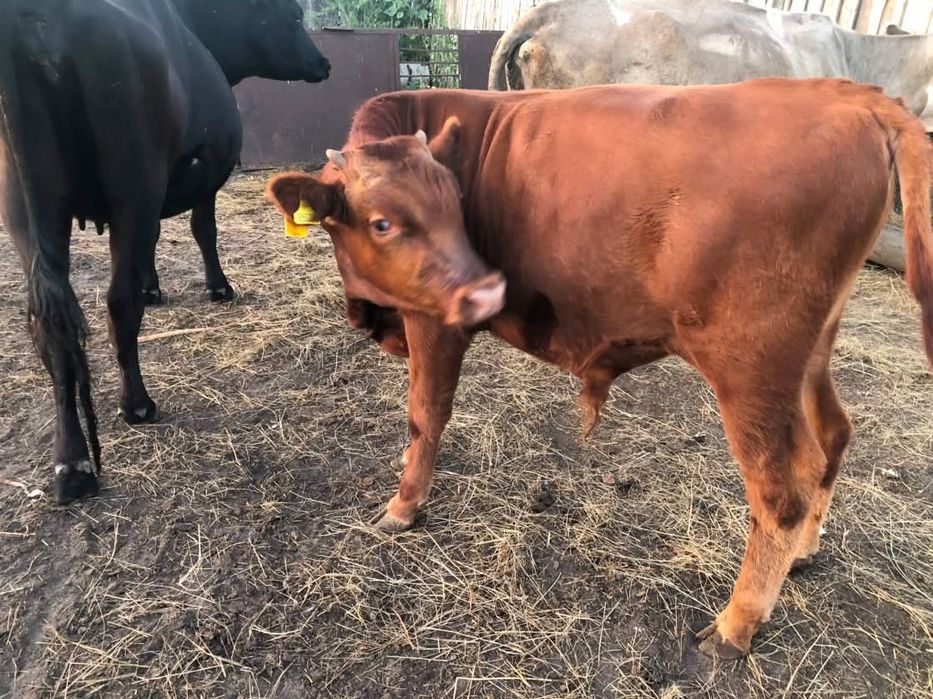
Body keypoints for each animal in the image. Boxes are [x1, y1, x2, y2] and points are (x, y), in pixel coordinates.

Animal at [0, 0, 329, 504]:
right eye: (293, 16)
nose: (324, 62)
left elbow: (154, 241)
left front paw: (154, 288)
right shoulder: (203, 172)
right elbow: (202, 228)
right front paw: (218, 287)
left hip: (25, 210)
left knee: (49, 326)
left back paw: (71, 465)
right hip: (132, 186)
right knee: (117, 303)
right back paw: (136, 404)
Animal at [266, 79, 933, 658]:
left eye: (456, 204)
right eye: (382, 222)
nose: (486, 291)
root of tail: (849, 95)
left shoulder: (431, 321)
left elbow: (425, 416)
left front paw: (404, 507)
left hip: (751, 371)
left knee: (782, 489)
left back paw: (735, 624)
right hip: (810, 354)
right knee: (832, 437)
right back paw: (804, 550)